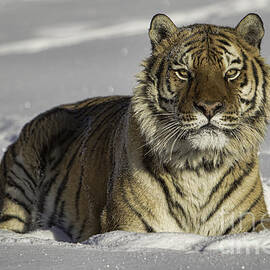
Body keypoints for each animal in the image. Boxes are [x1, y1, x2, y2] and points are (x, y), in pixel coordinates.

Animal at [0, 12, 270, 243]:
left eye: (231, 73)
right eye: (184, 73)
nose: (209, 107)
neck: (200, 167)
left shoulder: (253, 220)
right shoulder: (127, 226)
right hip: (17, 189)